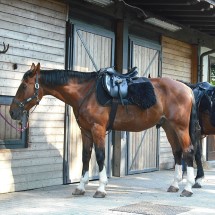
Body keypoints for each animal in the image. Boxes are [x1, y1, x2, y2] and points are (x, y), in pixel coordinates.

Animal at [8, 63, 203, 197]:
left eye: (24, 86)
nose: (12, 112)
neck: (86, 92)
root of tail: (187, 89)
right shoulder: (86, 131)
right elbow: (86, 156)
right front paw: (80, 187)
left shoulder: (98, 129)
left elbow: (100, 156)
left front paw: (101, 188)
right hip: (169, 127)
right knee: (177, 152)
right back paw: (175, 185)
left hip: (180, 128)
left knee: (188, 151)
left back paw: (188, 188)